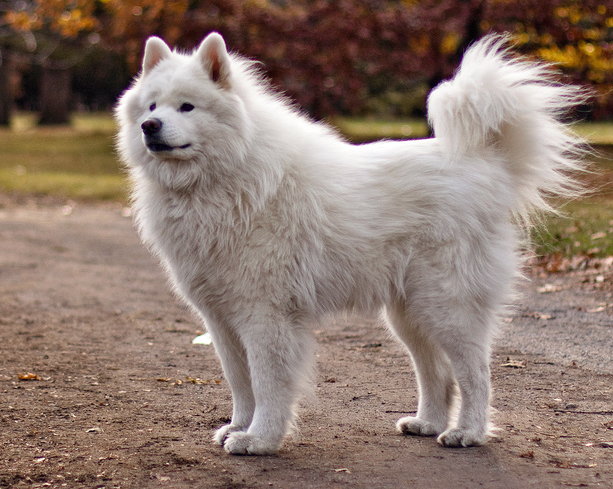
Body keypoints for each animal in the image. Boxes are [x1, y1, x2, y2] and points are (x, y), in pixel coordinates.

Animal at [113, 33, 584, 454]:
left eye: (186, 106)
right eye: (151, 106)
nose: (149, 126)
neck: (224, 177)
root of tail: (486, 163)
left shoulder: (266, 317)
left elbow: (267, 384)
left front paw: (260, 439)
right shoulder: (221, 319)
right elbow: (240, 383)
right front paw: (237, 428)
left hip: (446, 307)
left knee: (475, 375)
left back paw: (467, 433)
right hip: (408, 314)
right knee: (437, 375)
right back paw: (428, 424)